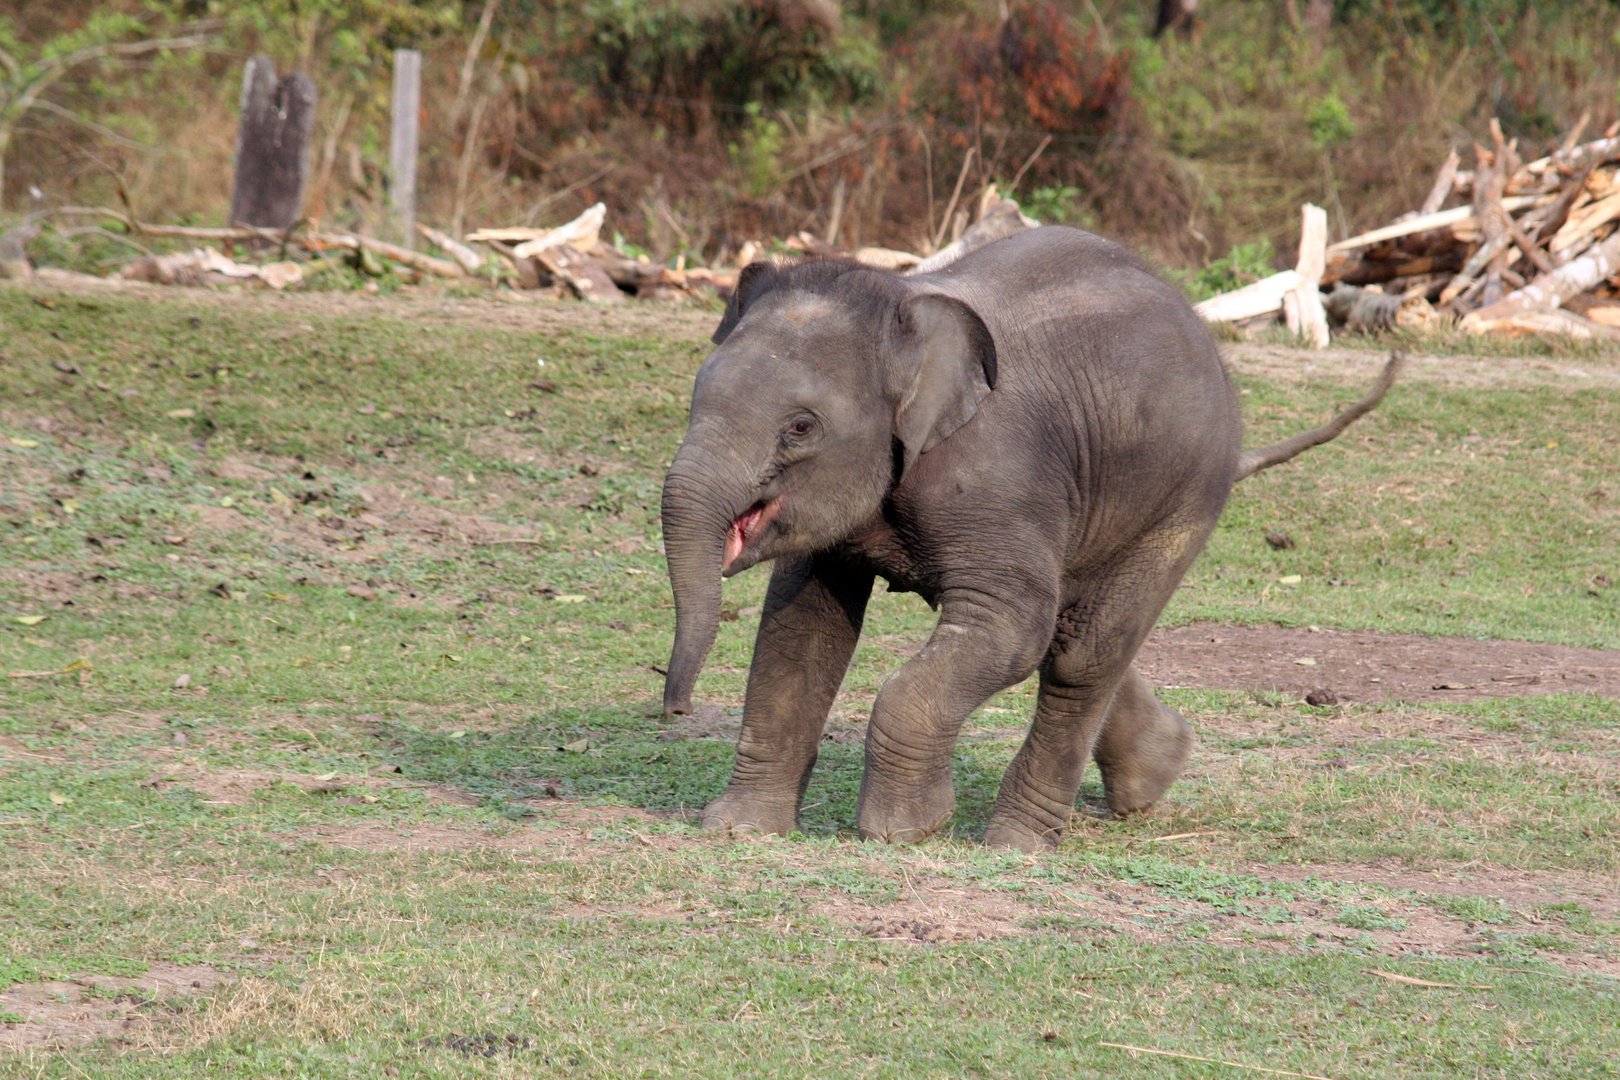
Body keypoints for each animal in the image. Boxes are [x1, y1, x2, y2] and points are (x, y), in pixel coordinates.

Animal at [657, 228, 1393, 854]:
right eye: (695, 394)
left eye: (800, 427)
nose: (674, 707)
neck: (907, 308)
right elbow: (801, 629)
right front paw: (738, 830)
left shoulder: (998, 477)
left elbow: (1012, 625)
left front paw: (907, 832)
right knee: (1073, 636)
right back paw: (1151, 779)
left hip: (1182, 498)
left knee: (1080, 654)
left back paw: (1019, 845)